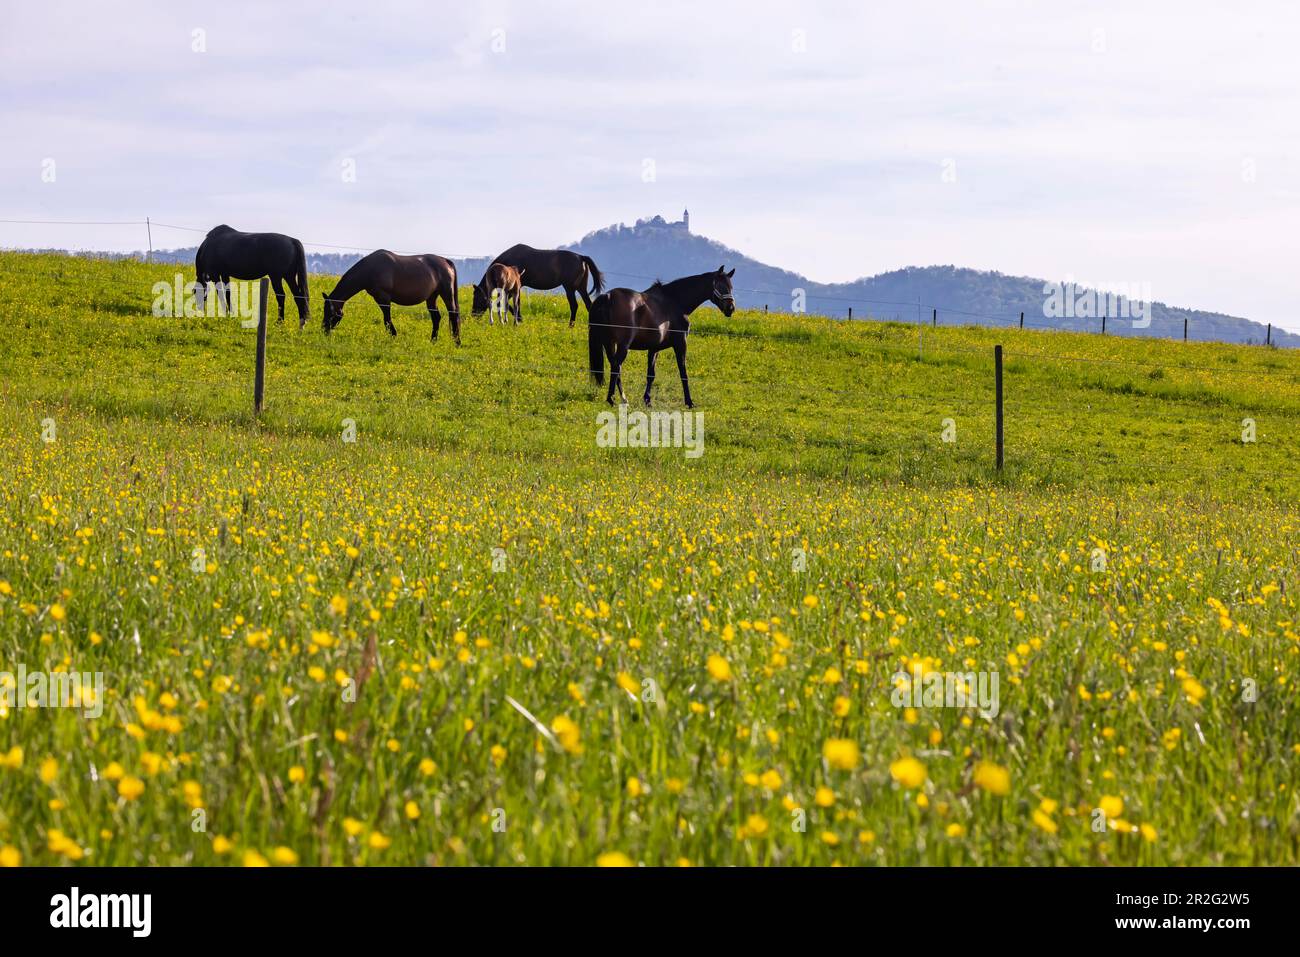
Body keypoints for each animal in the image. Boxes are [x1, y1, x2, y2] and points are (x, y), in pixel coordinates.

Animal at [321, 250, 460, 345]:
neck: (371, 269)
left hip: (447, 294)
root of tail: (446, 261)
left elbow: (387, 320)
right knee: (436, 317)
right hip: (431, 297)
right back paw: (433, 341)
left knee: (453, 315)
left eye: (330, 312)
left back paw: (457, 342)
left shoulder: (384, 298)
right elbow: (387, 320)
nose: (324, 330)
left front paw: (393, 336)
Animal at [472, 244, 603, 327]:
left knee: (574, 306)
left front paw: (518, 319)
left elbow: (513, 304)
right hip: (581, 288)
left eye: (477, 297)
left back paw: (571, 325)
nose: (473, 315)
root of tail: (581, 257)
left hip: (569, 288)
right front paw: (518, 319)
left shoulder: (515, 288)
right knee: (588, 305)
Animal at [587, 267, 735, 408]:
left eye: (731, 286)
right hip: (623, 345)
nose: (731, 308)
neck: (675, 302)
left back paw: (623, 399)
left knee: (615, 367)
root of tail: (607, 296)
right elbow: (683, 372)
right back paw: (611, 399)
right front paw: (689, 402)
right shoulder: (681, 343)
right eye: (720, 286)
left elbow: (651, 374)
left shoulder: (654, 348)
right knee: (616, 366)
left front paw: (647, 400)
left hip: (609, 343)